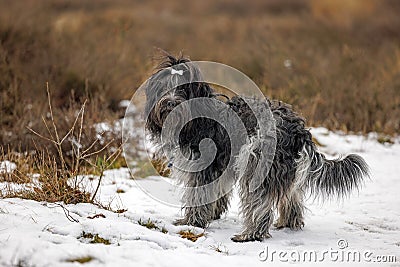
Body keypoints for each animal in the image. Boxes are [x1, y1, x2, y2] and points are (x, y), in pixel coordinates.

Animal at [143, 54, 368, 243]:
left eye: (183, 89)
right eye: (164, 87)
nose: (170, 103)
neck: (197, 121)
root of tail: (299, 131)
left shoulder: (205, 167)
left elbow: (199, 196)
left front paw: (191, 222)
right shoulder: (221, 166)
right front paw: (213, 215)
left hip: (258, 163)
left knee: (260, 205)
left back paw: (250, 234)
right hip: (287, 170)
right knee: (291, 197)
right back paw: (288, 223)